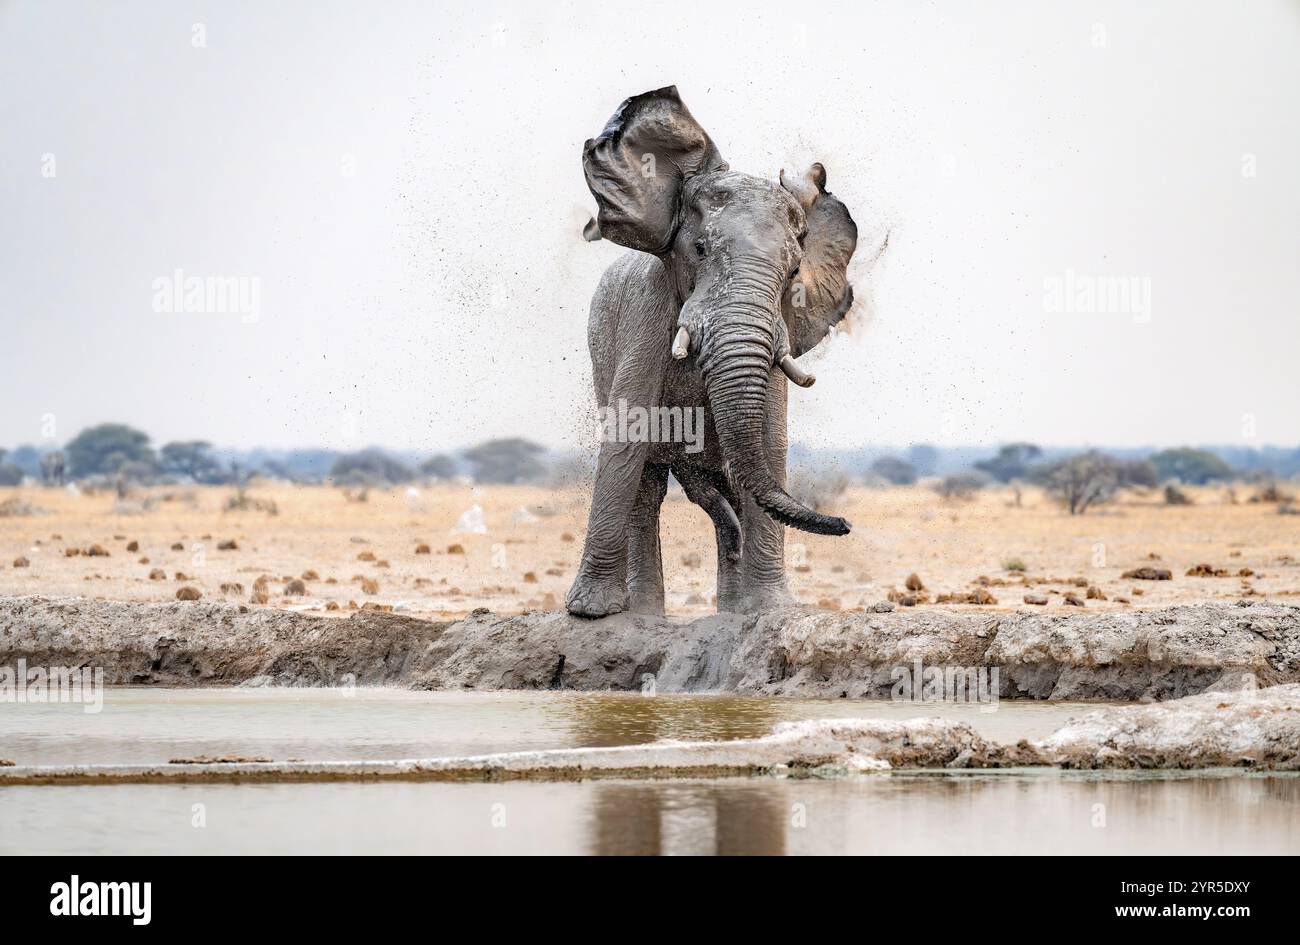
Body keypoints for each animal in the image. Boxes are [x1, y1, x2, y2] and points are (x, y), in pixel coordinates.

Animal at [566, 87, 863, 621]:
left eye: (793, 273)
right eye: (700, 249)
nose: (845, 523)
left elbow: (768, 439)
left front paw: (770, 609)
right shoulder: (646, 315)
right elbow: (627, 435)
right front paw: (589, 614)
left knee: (723, 484)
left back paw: (730, 605)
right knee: (653, 486)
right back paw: (644, 614)